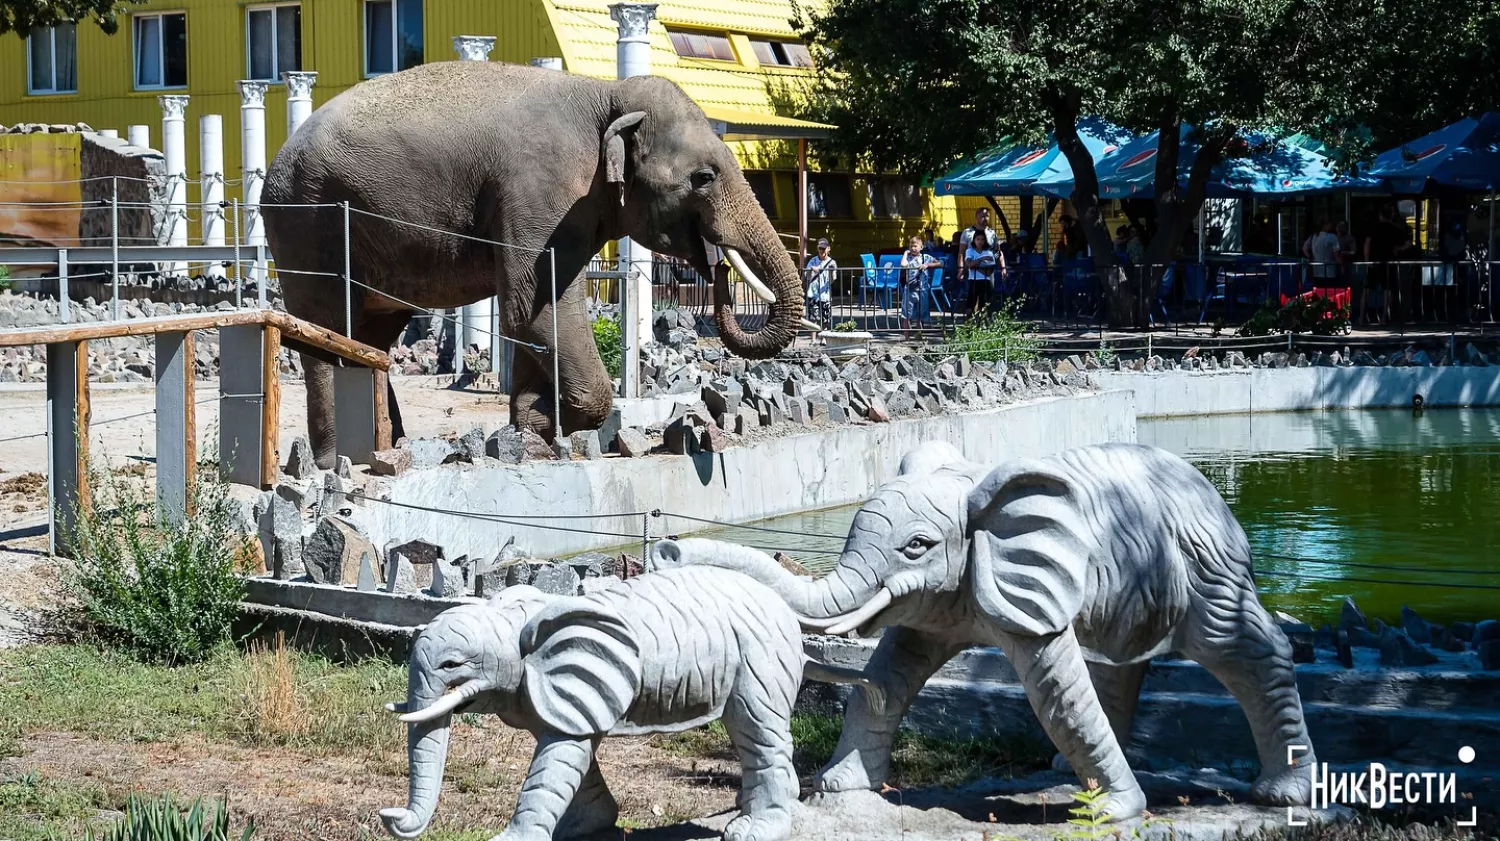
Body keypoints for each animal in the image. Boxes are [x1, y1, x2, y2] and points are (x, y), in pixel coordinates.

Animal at [270, 60, 810, 464]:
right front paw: (551, 427)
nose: (717, 264)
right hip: (307, 223)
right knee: (324, 332)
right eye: (704, 177)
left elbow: (531, 318)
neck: (607, 94)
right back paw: (335, 460)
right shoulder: (537, 193)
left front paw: (529, 430)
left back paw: (391, 445)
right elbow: (532, 311)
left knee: (372, 339)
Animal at [651, 440, 1320, 821]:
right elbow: (893, 672)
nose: (665, 551)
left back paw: (1282, 795)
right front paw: (836, 790)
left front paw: (1114, 814)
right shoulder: (948, 599)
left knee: (1243, 646)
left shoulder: (1017, 589)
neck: (973, 494)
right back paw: (1060, 773)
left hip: (1205, 567)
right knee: (1121, 661)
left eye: (917, 546)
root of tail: (1212, 490)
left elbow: (1056, 692)